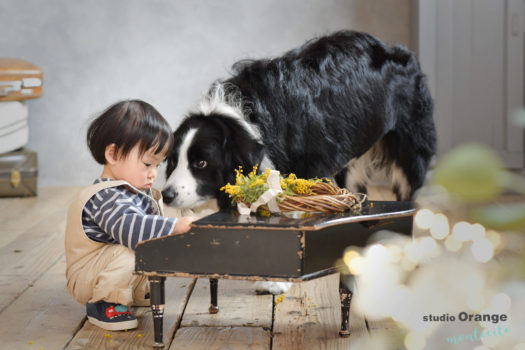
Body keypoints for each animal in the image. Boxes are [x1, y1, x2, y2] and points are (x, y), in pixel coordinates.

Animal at [162, 30, 436, 211]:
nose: (166, 195)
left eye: (201, 163)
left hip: (409, 146)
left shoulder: (312, 166)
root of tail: (401, 52)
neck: (247, 117)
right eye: (173, 161)